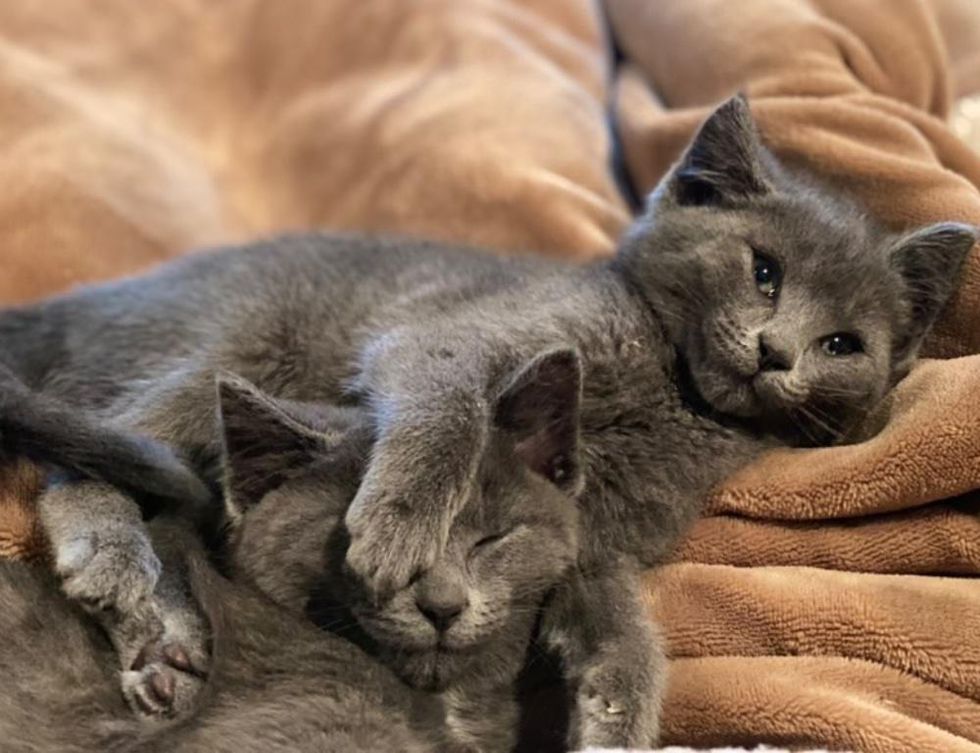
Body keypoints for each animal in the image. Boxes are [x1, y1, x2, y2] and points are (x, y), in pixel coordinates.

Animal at [0, 92, 972, 748]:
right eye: (764, 271)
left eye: (842, 343)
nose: (777, 353)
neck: (668, 389)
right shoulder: (446, 341)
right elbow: (443, 412)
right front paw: (398, 526)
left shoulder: (596, 531)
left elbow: (614, 614)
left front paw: (616, 711)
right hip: (231, 348)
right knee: (92, 454)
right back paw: (118, 567)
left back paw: (165, 636)